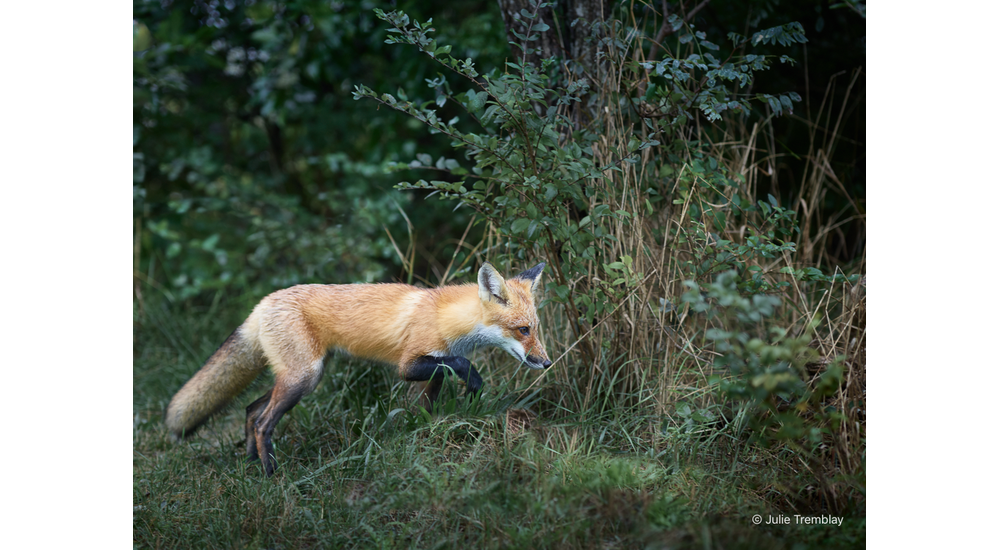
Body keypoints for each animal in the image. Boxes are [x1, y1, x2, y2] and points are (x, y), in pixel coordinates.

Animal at [165, 262, 551, 476]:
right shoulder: (408, 364)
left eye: (536, 328)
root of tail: (263, 302)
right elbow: (457, 365)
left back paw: (251, 465)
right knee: (262, 422)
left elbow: (433, 395)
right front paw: (473, 381)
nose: (546, 362)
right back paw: (271, 473)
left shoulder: (431, 366)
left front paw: (428, 431)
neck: (447, 319)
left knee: (249, 410)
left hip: (300, 376)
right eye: (522, 330)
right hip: (304, 377)